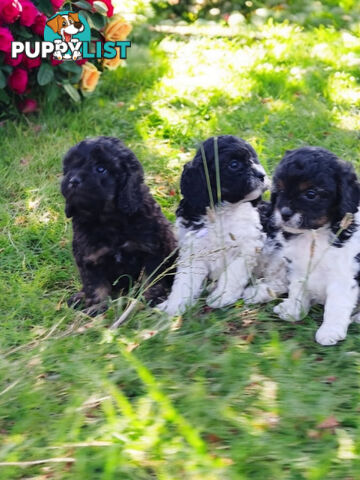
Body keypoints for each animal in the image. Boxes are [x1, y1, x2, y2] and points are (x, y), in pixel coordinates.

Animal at [61, 136, 178, 316]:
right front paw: (97, 307)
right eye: (68, 170)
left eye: (100, 169)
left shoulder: (151, 250)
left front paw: (151, 299)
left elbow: (151, 278)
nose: (73, 181)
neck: (109, 218)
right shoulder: (89, 258)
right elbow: (95, 285)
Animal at [159, 135, 268, 316]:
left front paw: (222, 297)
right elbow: (184, 280)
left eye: (253, 160)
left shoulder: (248, 247)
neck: (223, 211)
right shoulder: (194, 250)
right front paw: (174, 305)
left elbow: (233, 273)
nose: (263, 175)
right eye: (234, 164)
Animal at [270, 146, 360, 344]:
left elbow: (336, 305)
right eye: (279, 190)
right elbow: (297, 292)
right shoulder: (299, 269)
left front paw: (329, 331)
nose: (284, 213)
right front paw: (293, 311)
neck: (314, 235)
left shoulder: (343, 278)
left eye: (311, 194)